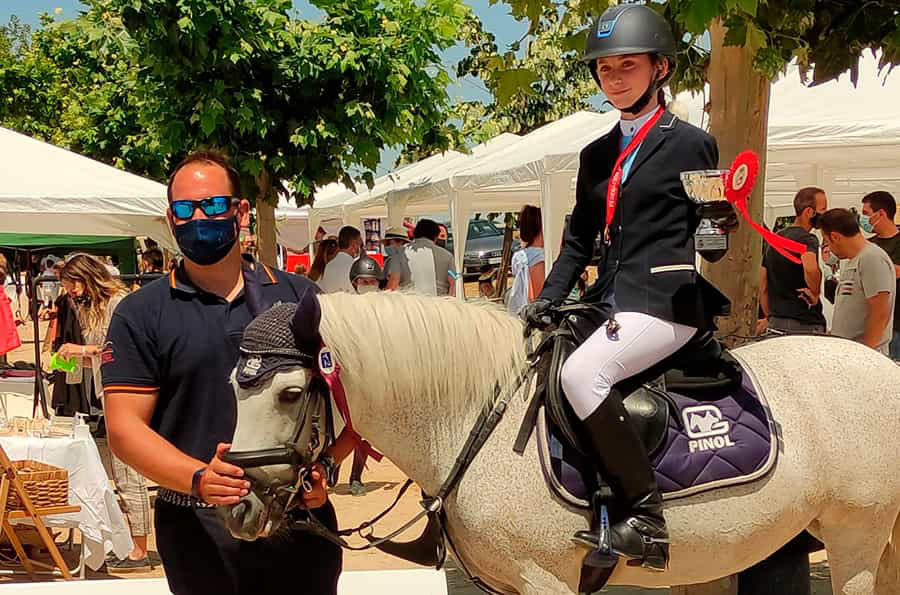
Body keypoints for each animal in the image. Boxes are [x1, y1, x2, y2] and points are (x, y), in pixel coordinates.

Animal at [221, 294, 900, 595]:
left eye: (288, 394)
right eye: (233, 386)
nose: (240, 508)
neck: (474, 417)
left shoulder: (544, 581)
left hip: (857, 533)